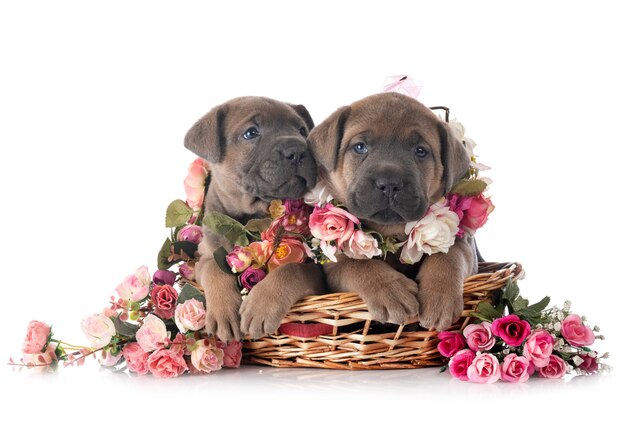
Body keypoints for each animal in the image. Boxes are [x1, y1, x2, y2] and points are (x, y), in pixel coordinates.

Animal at [183, 96, 324, 342]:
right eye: (251, 133)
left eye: (302, 130)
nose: (297, 149)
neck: (251, 217)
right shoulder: (203, 258)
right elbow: (214, 269)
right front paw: (224, 312)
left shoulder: (315, 271)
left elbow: (291, 270)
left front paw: (261, 305)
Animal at [304, 93, 476, 332]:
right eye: (360, 147)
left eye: (420, 151)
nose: (390, 183)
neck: (390, 233)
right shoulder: (335, 264)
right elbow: (360, 264)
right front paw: (390, 291)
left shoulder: (463, 242)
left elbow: (449, 256)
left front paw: (440, 297)